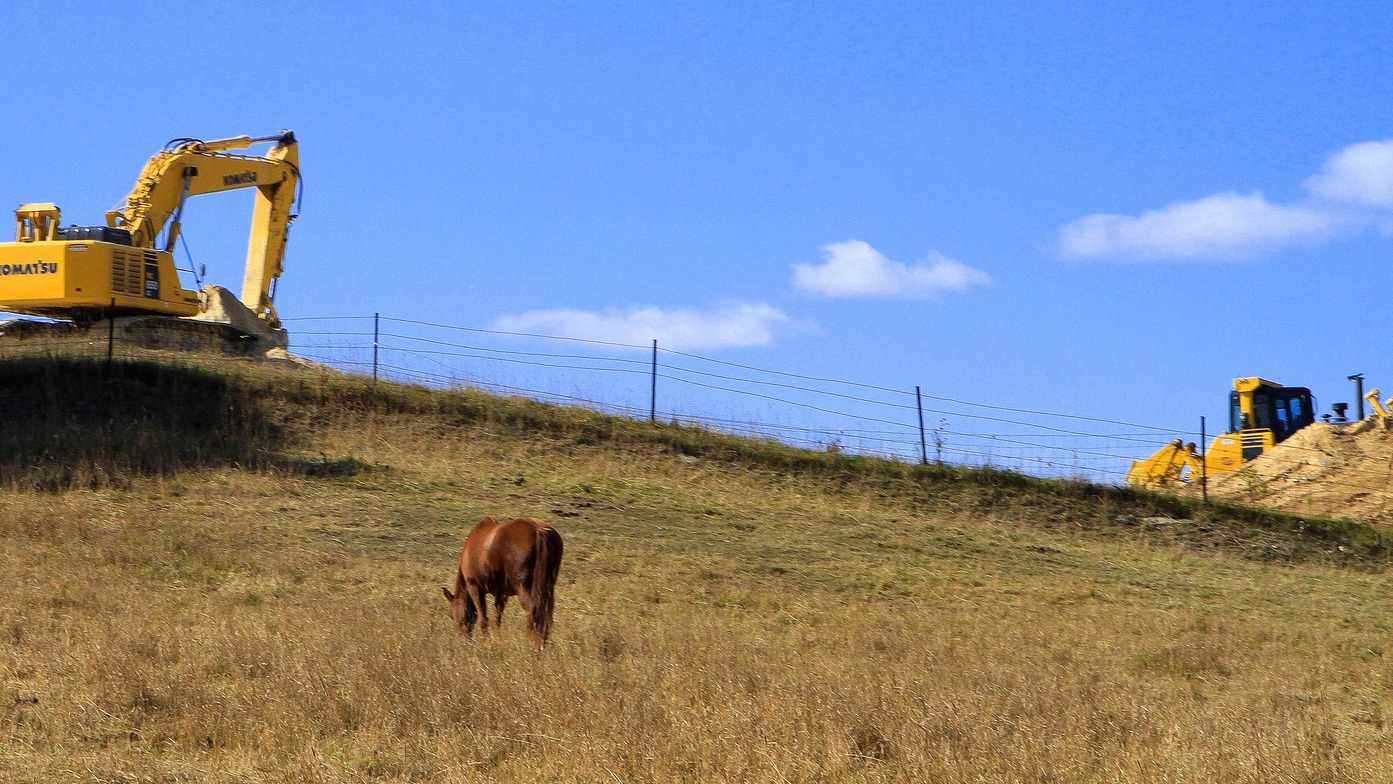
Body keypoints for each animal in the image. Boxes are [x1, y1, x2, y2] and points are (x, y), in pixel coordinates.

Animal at [440, 515, 559, 651]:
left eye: (450, 614)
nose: (463, 642)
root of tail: (539, 530)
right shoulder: (501, 593)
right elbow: (497, 618)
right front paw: (497, 642)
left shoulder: (474, 586)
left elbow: (483, 619)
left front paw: (487, 644)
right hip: (548, 588)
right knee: (546, 615)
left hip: (524, 588)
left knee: (532, 613)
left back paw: (532, 645)